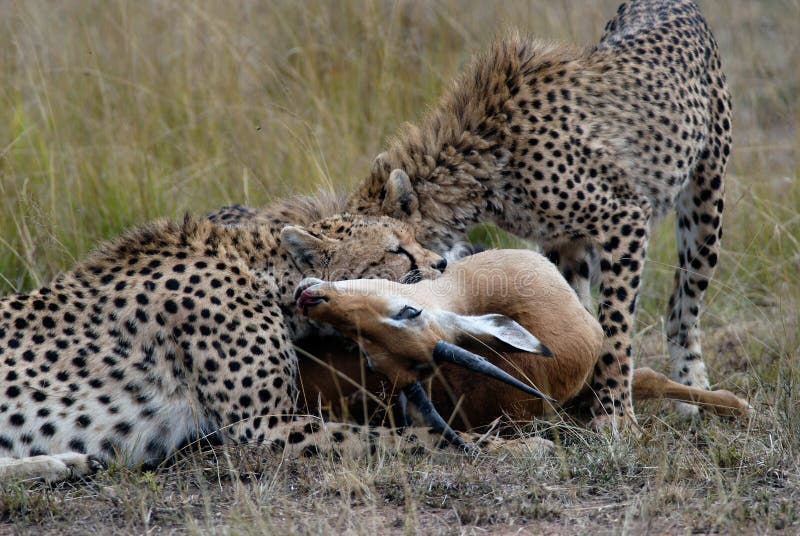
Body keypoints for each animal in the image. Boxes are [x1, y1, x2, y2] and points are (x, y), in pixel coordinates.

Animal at [0, 195, 454, 484]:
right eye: (397, 252)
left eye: (415, 238)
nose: (443, 264)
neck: (262, 270)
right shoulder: (259, 425)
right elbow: (383, 437)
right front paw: (465, 442)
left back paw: (63, 464)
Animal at [346, 0, 728, 430]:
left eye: (382, 254)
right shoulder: (561, 241)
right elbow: (579, 315)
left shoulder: (626, 217)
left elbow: (614, 325)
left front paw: (613, 412)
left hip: (705, 206)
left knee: (684, 304)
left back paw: (692, 387)